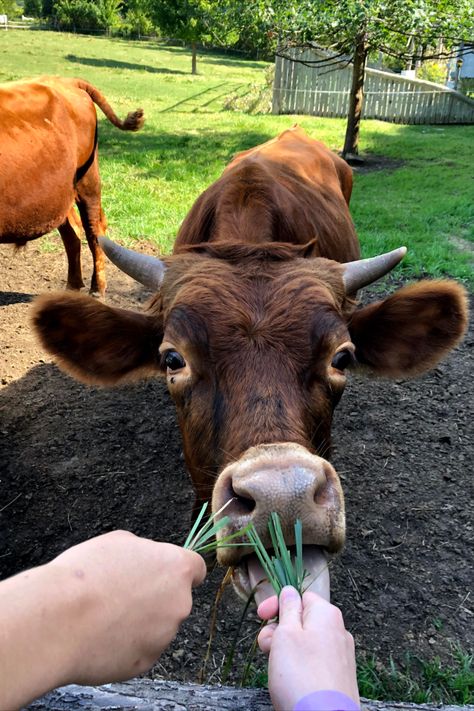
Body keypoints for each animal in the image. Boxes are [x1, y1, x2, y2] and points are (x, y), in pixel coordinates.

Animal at [0, 78, 144, 298]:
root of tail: (66, 80)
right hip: (60, 194)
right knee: (73, 233)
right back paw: (73, 286)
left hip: (88, 182)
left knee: (94, 231)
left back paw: (97, 288)